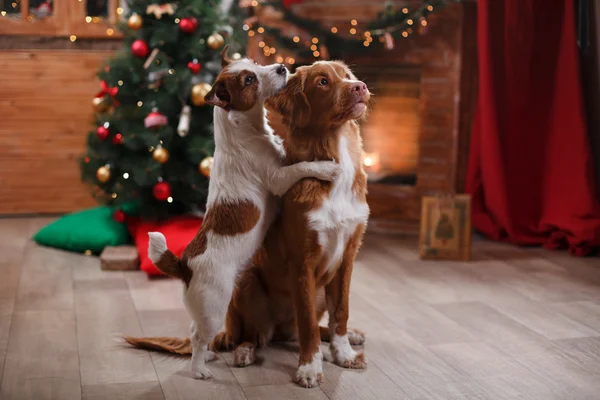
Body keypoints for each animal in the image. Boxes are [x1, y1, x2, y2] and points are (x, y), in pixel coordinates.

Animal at [138, 48, 340, 380]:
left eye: (254, 64)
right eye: (249, 80)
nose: (282, 67)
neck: (240, 131)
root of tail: (185, 265)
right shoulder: (278, 178)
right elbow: (300, 167)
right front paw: (325, 167)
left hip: (204, 308)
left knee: (194, 330)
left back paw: (207, 357)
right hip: (215, 306)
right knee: (198, 337)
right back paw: (199, 370)